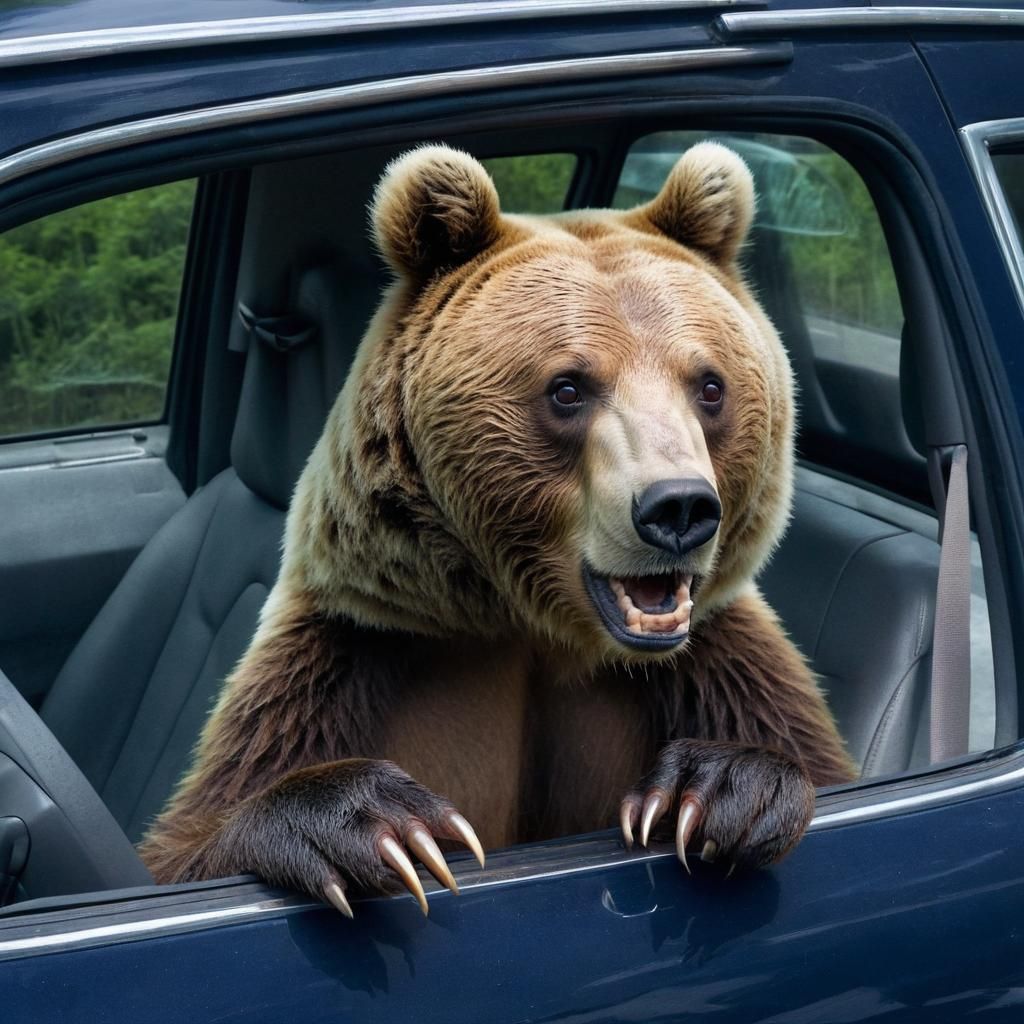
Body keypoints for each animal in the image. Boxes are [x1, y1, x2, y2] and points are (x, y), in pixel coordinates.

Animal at [139, 141, 855, 918]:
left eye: (710, 385)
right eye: (568, 388)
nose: (679, 509)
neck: (538, 627)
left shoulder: (714, 667)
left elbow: (793, 749)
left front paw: (718, 786)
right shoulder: (351, 655)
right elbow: (194, 838)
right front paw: (380, 822)